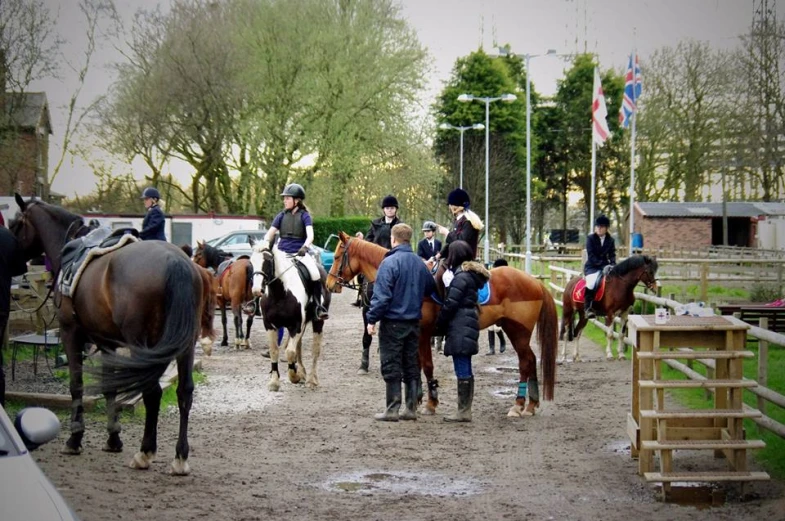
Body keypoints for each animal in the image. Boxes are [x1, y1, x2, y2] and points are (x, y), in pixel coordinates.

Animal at [9, 193, 205, 474]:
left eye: (15, 224)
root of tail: (177, 261)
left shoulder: (70, 333)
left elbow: (76, 384)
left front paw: (74, 439)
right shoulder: (107, 343)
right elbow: (109, 388)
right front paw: (113, 438)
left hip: (142, 345)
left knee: (153, 392)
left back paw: (145, 452)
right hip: (185, 344)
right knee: (184, 392)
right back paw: (180, 457)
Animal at [248, 240, 328, 390]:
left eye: (268, 260)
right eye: (251, 262)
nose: (256, 290)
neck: (279, 293)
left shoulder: (295, 325)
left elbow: (290, 352)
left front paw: (294, 376)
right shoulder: (270, 325)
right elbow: (274, 350)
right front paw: (274, 381)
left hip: (317, 322)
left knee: (315, 349)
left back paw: (311, 379)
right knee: (299, 346)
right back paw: (302, 372)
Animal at [324, 234, 556, 416]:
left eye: (336, 257)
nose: (329, 284)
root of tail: (535, 282)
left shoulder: (423, 333)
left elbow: (426, 366)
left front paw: (430, 402)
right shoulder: (415, 334)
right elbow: (416, 365)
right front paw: (417, 399)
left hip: (518, 331)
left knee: (526, 362)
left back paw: (518, 405)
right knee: (531, 360)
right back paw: (531, 404)